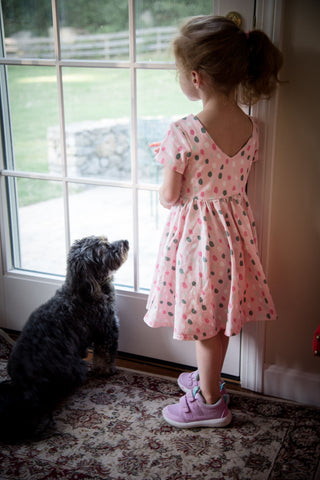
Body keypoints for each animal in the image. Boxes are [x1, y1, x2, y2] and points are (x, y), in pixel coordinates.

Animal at [0, 234, 129, 440]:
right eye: (104, 248)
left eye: (106, 239)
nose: (125, 242)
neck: (85, 289)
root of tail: (24, 385)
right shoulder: (107, 329)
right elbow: (105, 355)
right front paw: (106, 371)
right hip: (76, 366)